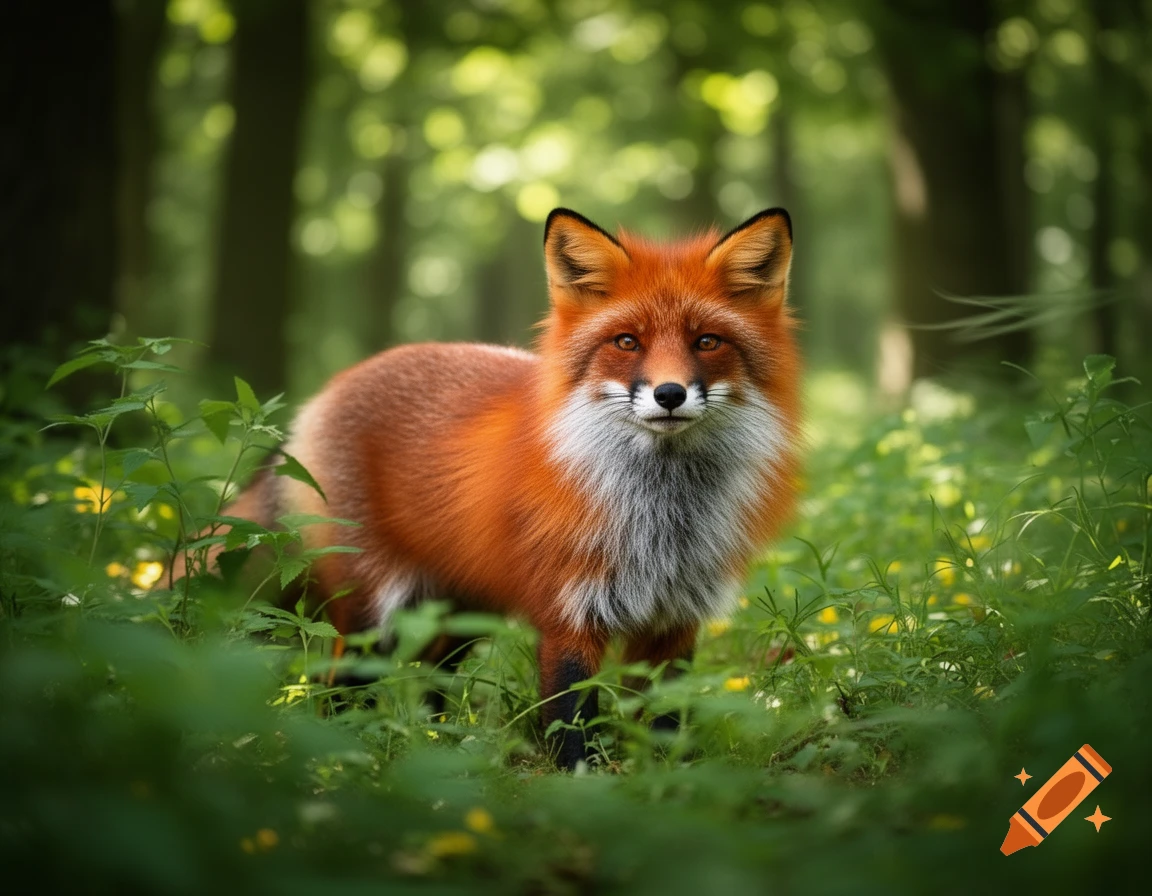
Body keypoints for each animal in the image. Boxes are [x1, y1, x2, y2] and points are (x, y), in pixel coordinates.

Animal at [203, 207, 801, 770]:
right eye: (627, 342)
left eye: (708, 341)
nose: (670, 394)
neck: (661, 517)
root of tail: (322, 396)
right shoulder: (567, 613)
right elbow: (569, 721)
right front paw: (582, 786)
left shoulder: (674, 618)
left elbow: (663, 726)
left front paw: (662, 779)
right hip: (370, 612)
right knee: (339, 689)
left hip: (461, 610)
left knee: (432, 679)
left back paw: (439, 746)